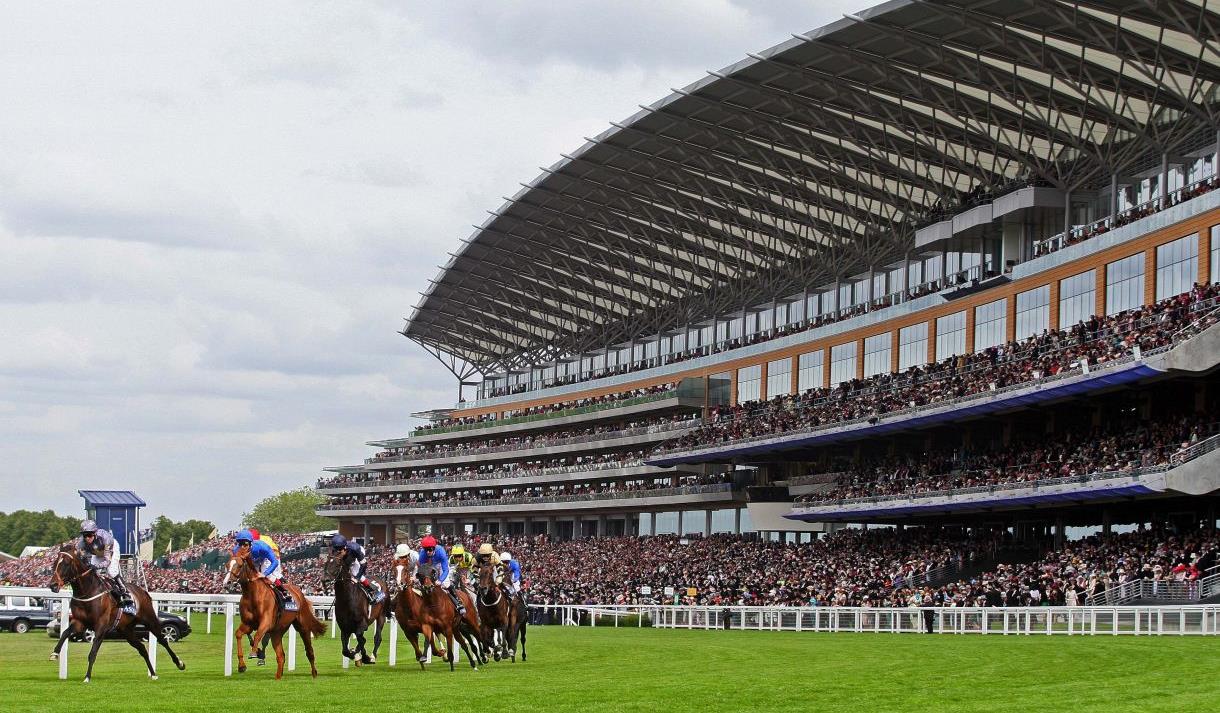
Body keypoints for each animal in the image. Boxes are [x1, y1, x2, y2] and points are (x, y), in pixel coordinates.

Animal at [47, 549, 184, 683]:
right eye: (54, 563)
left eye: (66, 564)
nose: (53, 585)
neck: (88, 591)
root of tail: (144, 591)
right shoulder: (79, 622)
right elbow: (65, 633)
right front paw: (55, 653)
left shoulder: (101, 626)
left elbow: (93, 652)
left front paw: (87, 677)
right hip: (126, 630)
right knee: (142, 648)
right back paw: (153, 674)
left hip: (150, 620)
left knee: (163, 640)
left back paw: (179, 663)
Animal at [220, 546, 324, 678]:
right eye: (227, 565)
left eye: (239, 565)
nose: (227, 583)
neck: (252, 595)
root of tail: (299, 593)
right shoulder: (248, 624)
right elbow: (238, 634)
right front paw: (242, 665)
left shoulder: (266, 623)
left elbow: (258, 635)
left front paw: (254, 653)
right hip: (277, 632)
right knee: (281, 656)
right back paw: (278, 677)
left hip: (302, 627)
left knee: (309, 651)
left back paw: (314, 674)